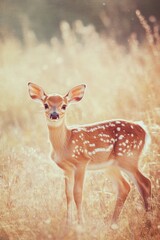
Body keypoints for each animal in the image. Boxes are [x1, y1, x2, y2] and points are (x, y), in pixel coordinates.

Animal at [27, 82, 151, 229]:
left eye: (64, 105)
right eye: (46, 105)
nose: (54, 115)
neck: (65, 142)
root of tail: (144, 130)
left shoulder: (82, 161)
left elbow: (77, 193)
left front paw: (81, 224)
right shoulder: (67, 168)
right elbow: (68, 194)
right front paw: (68, 223)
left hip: (128, 157)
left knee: (145, 182)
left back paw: (148, 220)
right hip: (112, 165)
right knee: (125, 186)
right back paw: (113, 223)